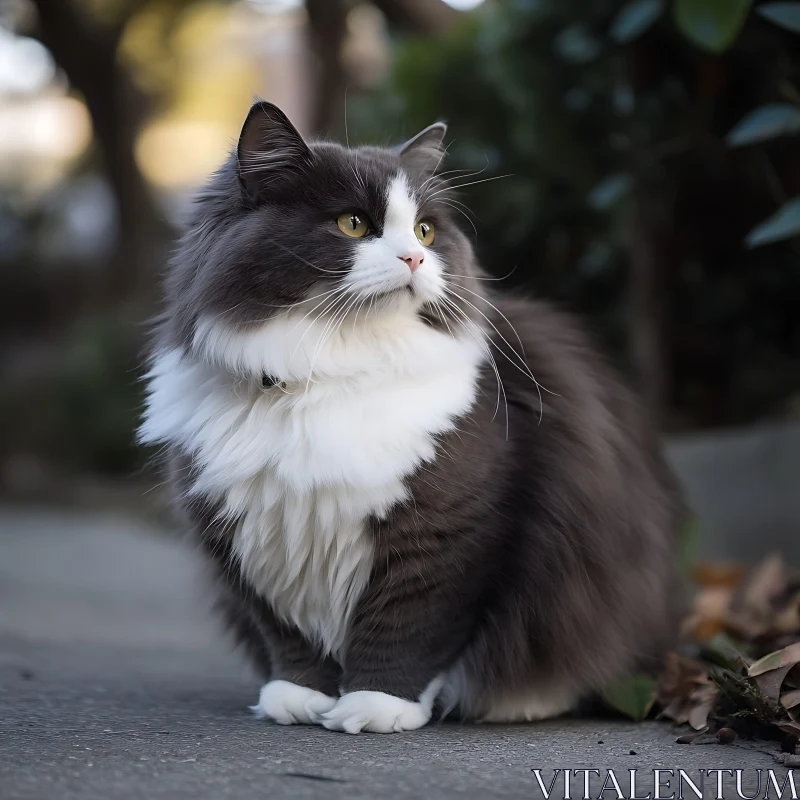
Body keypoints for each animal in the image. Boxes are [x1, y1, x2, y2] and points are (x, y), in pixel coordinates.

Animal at [138, 103, 680, 736]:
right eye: (352, 224)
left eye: (424, 232)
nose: (415, 258)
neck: (326, 375)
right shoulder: (244, 538)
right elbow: (287, 633)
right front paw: (300, 698)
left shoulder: (447, 535)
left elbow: (408, 626)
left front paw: (377, 706)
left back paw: (519, 702)